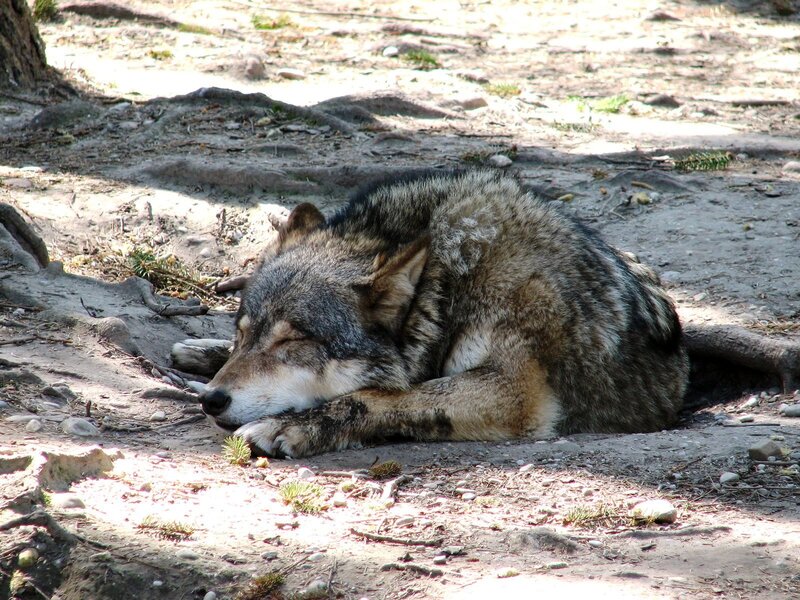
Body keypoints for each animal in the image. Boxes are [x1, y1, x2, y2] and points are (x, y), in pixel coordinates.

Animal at [193, 170, 689, 458]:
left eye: (292, 341)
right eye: (243, 335)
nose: (212, 399)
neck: (450, 286)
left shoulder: (515, 391)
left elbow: (387, 396)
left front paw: (290, 427)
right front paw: (207, 352)